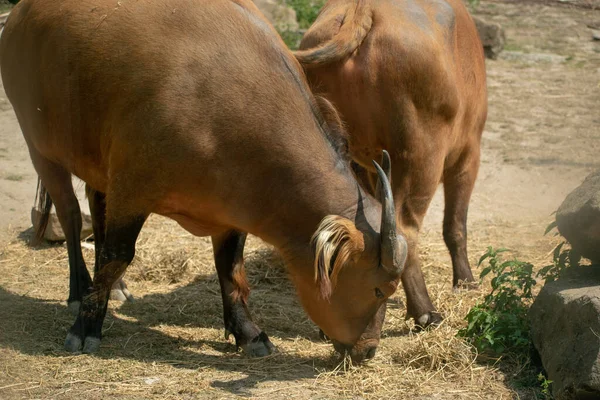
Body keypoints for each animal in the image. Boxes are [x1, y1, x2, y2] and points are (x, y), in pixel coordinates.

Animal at [0, 0, 408, 362]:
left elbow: (229, 266)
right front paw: (86, 327)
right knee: (70, 216)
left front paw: (247, 331)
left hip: (98, 165)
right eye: (379, 289)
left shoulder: (233, 209)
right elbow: (118, 255)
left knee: (95, 212)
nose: (369, 351)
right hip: (41, 148)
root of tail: (19, 14)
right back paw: (78, 290)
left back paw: (114, 289)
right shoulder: (132, 189)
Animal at [296, 0, 488, 326]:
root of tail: (361, 9)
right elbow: (456, 226)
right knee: (404, 227)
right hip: (422, 157)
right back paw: (425, 311)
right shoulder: (467, 156)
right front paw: (465, 282)